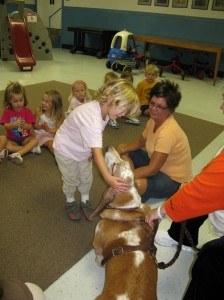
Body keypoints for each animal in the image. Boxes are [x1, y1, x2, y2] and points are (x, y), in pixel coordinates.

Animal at [88, 146, 158, 298]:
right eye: (125, 163)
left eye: (114, 166)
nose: (109, 147)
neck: (128, 209)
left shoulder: (96, 241)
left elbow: (98, 254)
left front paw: (98, 261)